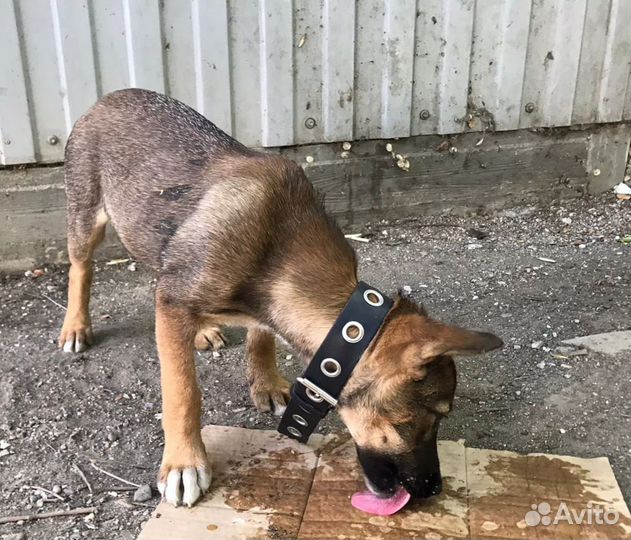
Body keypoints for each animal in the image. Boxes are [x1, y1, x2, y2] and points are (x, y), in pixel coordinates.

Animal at [59, 87, 504, 506]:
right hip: (86, 214)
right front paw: (184, 462)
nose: (434, 489)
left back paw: (201, 330)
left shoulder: (230, 304)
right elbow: (182, 390)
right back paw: (75, 326)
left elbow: (261, 337)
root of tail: (114, 96)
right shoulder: (174, 301)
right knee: (80, 267)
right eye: (418, 421)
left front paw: (267, 382)